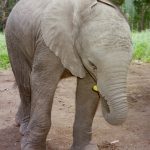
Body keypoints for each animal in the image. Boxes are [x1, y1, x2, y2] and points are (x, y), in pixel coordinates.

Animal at [4, 0, 132, 150]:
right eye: (93, 65)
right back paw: (23, 128)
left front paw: (87, 148)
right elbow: (42, 82)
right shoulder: (47, 41)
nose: (106, 103)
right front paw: (30, 147)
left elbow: (87, 91)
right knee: (25, 83)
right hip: (13, 41)